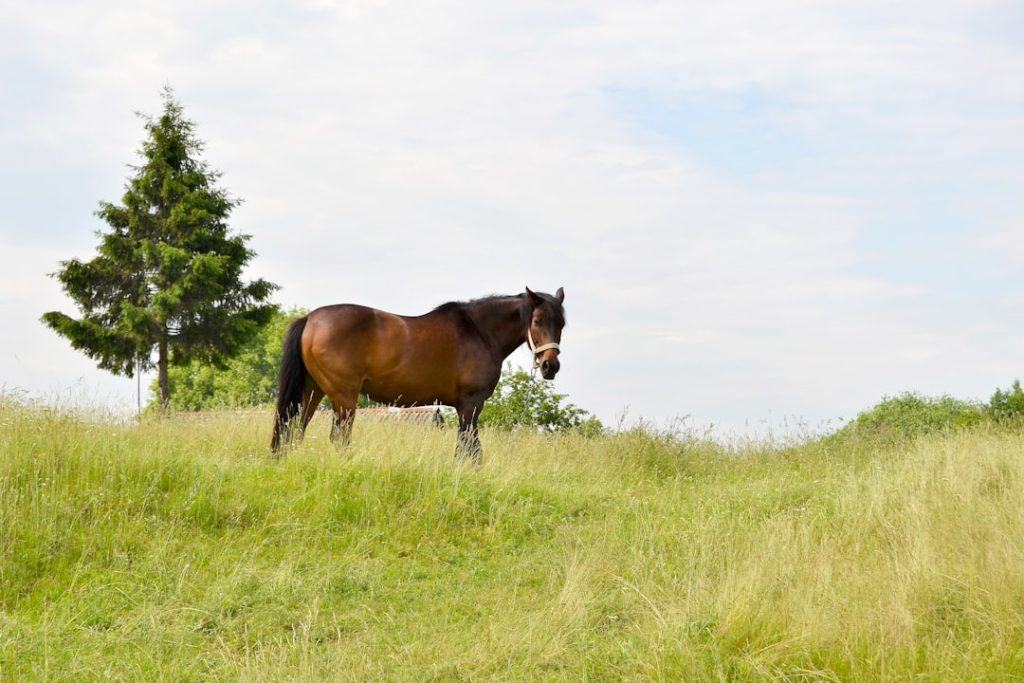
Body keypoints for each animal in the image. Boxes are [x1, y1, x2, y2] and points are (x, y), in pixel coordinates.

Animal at [270, 286, 566, 462]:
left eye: (562, 323)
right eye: (536, 320)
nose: (550, 366)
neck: (479, 332)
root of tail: (309, 319)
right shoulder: (471, 404)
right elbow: (470, 449)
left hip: (311, 391)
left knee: (293, 430)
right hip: (343, 397)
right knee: (339, 438)